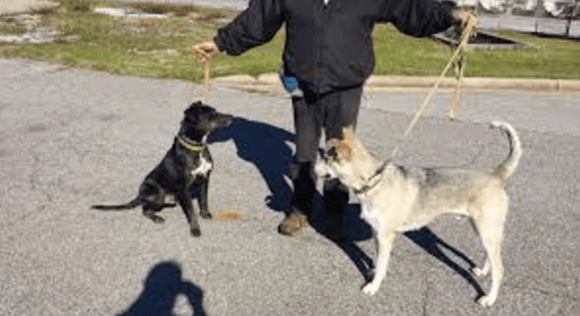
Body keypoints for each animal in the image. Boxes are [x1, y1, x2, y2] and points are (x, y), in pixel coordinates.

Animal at [92, 102, 234, 237]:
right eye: (212, 115)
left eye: (216, 111)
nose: (232, 117)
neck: (197, 147)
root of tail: (139, 195)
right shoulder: (184, 188)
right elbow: (191, 211)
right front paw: (195, 229)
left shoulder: (205, 180)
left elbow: (204, 200)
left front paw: (204, 214)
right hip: (158, 194)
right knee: (145, 209)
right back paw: (157, 217)